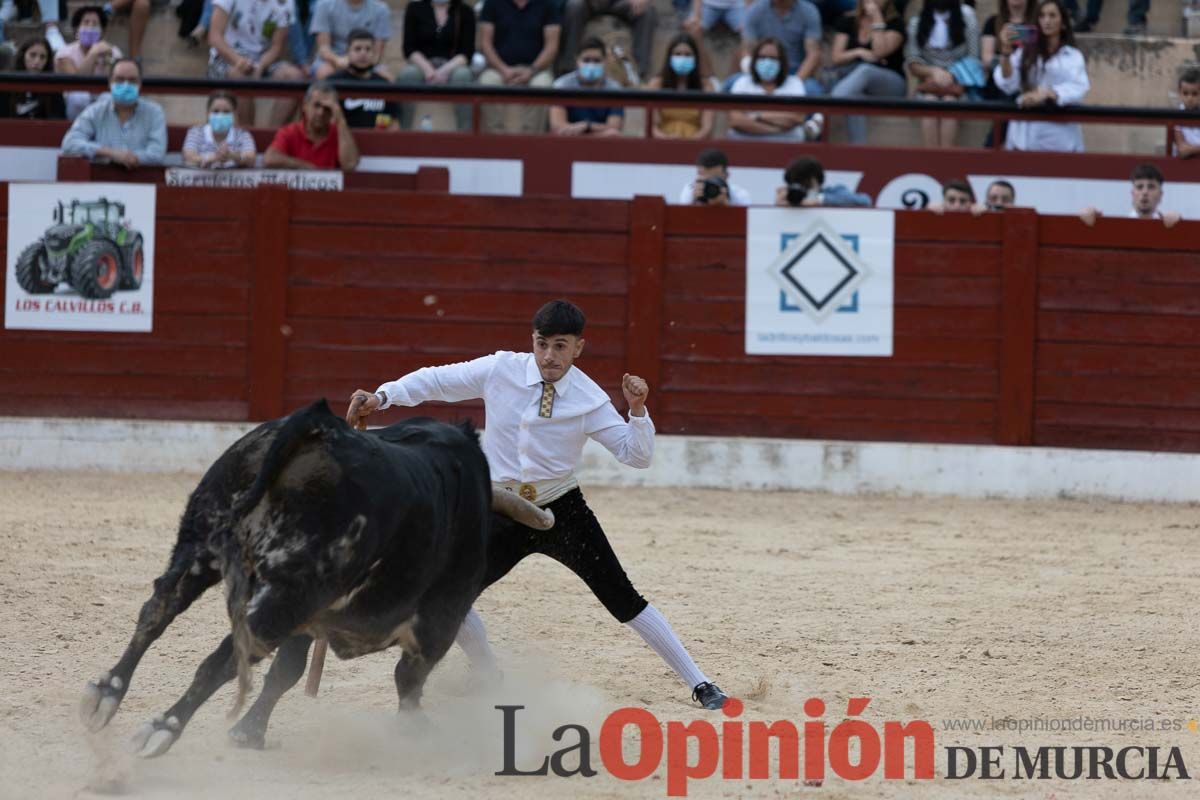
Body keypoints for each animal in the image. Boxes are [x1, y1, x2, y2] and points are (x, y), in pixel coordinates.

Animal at [77, 400, 554, 758]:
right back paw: (162, 729)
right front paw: (415, 728)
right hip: (289, 592)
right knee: (227, 656)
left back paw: (105, 695)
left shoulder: (312, 618)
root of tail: (321, 426)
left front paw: (248, 732)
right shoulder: (439, 619)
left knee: (158, 609)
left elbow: (287, 670)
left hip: (201, 543)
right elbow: (408, 678)